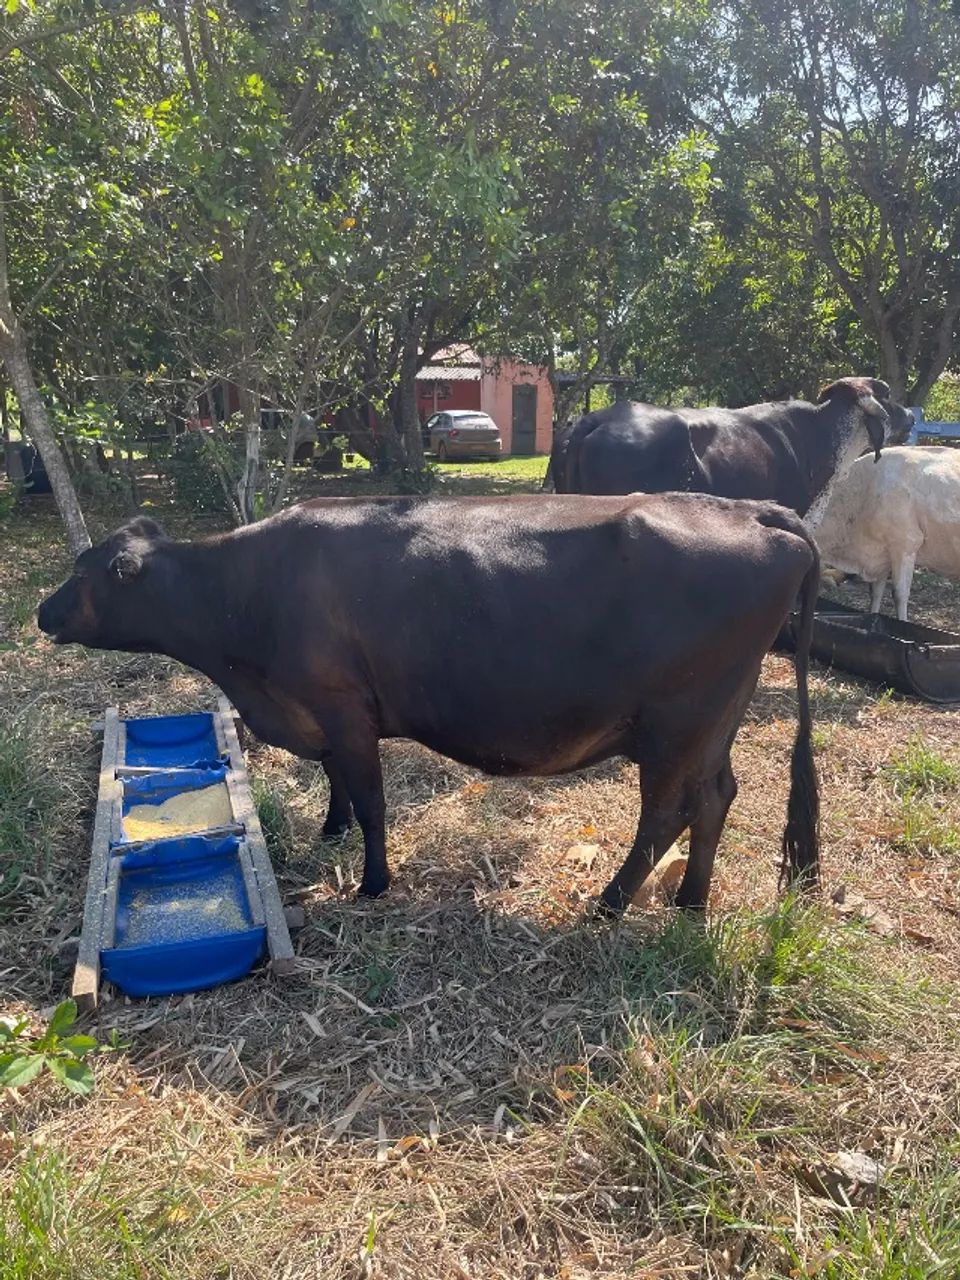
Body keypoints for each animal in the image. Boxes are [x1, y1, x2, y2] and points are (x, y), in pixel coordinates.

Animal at [38, 495, 821, 914]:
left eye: (87, 572)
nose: (43, 613)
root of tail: (752, 510)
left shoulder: (343, 707)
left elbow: (372, 800)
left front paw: (373, 883)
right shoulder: (323, 712)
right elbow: (337, 781)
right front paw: (330, 832)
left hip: (675, 727)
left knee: (666, 815)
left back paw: (609, 904)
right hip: (717, 722)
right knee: (716, 798)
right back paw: (689, 900)